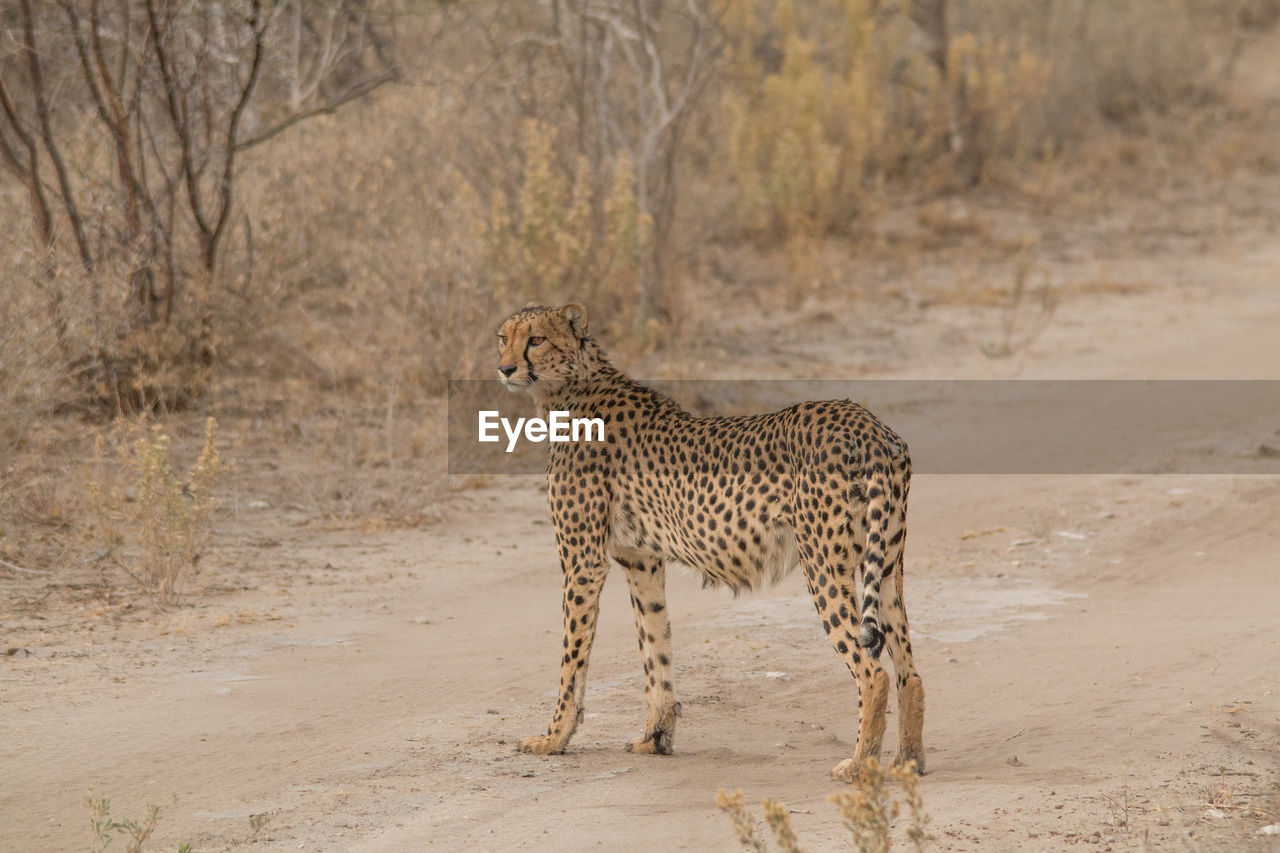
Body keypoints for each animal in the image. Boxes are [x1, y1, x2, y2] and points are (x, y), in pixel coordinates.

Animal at [494, 300, 926, 778]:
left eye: (536, 339)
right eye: (504, 338)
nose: (505, 368)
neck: (568, 389)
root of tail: (865, 423)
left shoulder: (583, 561)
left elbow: (572, 656)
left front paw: (554, 738)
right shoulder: (641, 559)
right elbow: (655, 644)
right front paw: (655, 738)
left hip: (825, 564)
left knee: (874, 671)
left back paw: (859, 765)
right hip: (885, 564)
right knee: (909, 671)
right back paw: (908, 761)